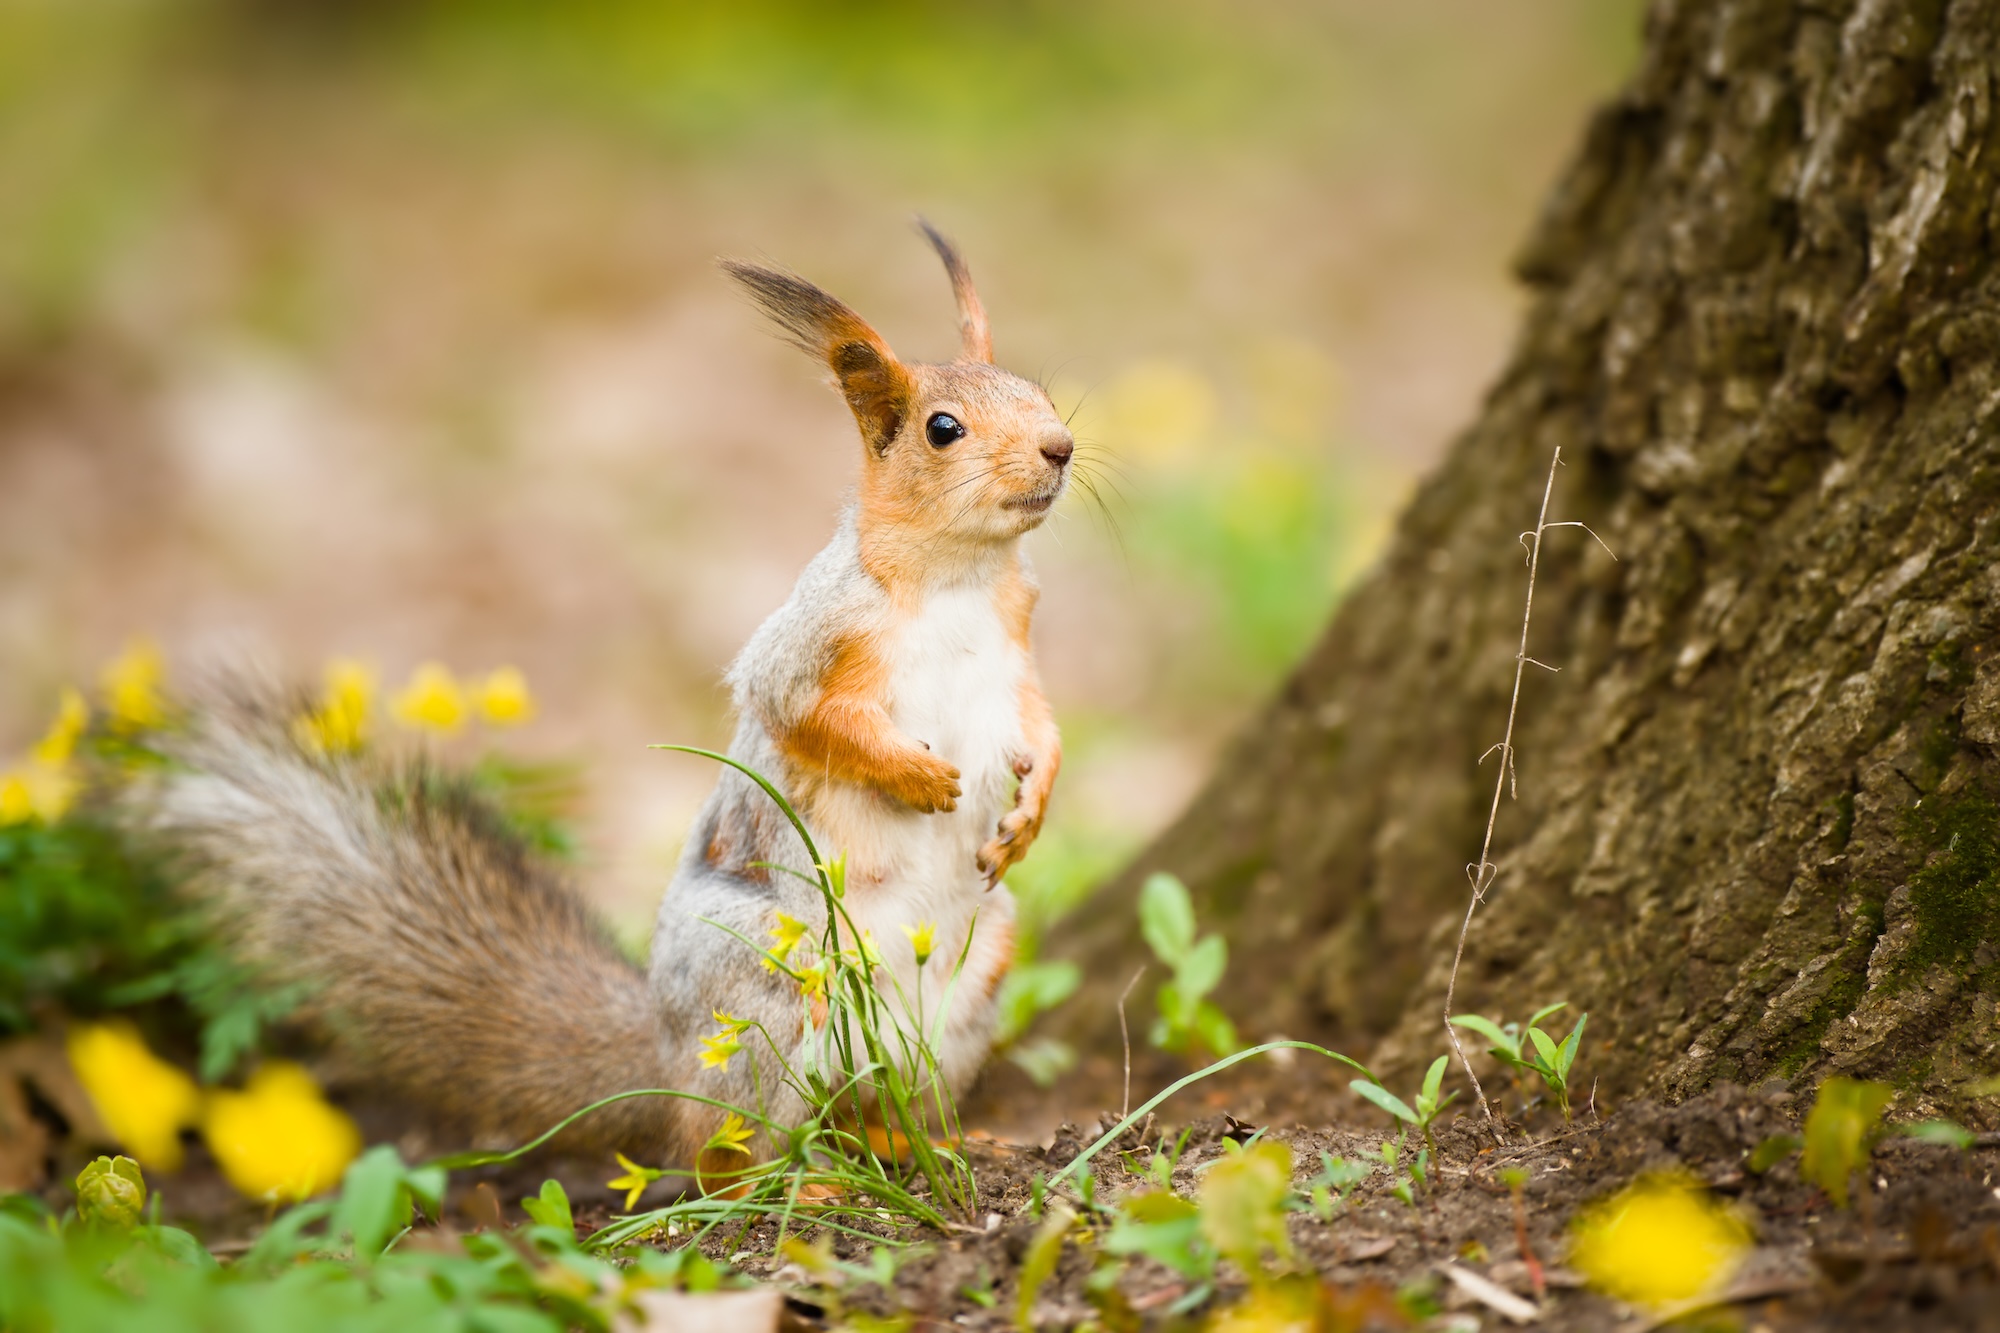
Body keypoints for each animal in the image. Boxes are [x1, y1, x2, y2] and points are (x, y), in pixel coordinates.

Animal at [139, 223, 1070, 1177]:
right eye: (942, 428)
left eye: (1040, 390)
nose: (1061, 447)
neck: (958, 575)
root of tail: (662, 1051)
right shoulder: (806, 644)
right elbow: (805, 715)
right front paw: (917, 778)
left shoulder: (1016, 641)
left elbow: (1042, 723)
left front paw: (1029, 810)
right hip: (765, 989)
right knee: (723, 1147)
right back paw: (795, 1181)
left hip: (972, 980)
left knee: (872, 1106)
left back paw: (939, 1141)